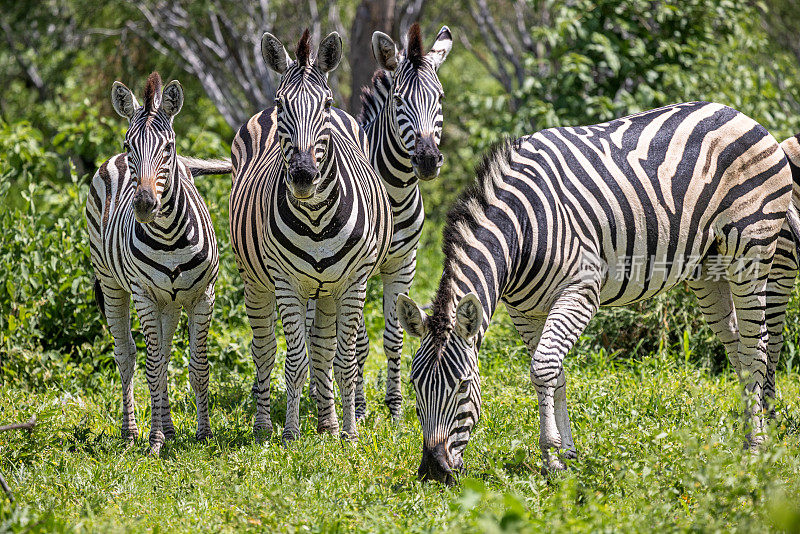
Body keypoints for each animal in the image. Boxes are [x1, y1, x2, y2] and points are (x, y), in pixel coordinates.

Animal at [85, 72, 225, 456]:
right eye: (130, 144)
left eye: (169, 148)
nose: (145, 204)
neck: (169, 237)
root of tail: (111, 160)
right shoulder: (145, 296)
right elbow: (152, 366)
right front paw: (155, 441)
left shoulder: (201, 296)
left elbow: (198, 367)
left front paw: (204, 434)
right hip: (113, 283)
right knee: (128, 355)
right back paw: (133, 431)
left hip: (171, 302)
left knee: (161, 354)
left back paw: (170, 427)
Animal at [228, 31, 394, 444]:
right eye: (281, 104)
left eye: (327, 104)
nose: (303, 176)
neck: (316, 217)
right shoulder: (288, 284)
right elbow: (295, 360)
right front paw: (289, 434)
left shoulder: (353, 282)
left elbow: (344, 359)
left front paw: (349, 433)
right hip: (255, 281)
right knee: (264, 349)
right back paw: (263, 426)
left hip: (329, 290)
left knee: (323, 348)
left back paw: (328, 423)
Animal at [306, 22, 454, 422]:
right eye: (400, 101)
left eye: (440, 99)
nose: (427, 160)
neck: (396, 193)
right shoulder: (357, 268)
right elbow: (356, 342)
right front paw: (356, 408)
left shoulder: (404, 263)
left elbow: (393, 336)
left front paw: (395, 409)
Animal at [396, 102, 796, 488]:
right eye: (414, 385)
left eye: (463, 386)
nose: (433, 470)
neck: (522, 230)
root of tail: (740, 114)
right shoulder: (525, 311)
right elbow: (553, 373)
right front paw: (567, 455)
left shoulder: (580, 292)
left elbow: (542, 368)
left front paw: (551, 460)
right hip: (708, 269)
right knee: (737, 348)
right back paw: (747, 435)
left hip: (751, 251)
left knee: (757, 345)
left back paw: (758, 446)